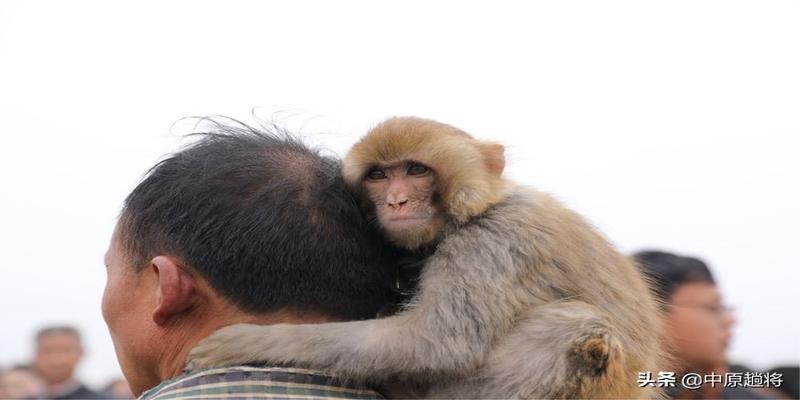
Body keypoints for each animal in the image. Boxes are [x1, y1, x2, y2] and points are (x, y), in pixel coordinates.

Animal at [186, 117, 664, 398]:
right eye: (379, 175)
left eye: (415, 170)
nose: (396, 201)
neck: (472, 213)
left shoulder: (490, 245)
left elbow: (434, 341)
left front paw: (251, 340)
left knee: (573, 327)